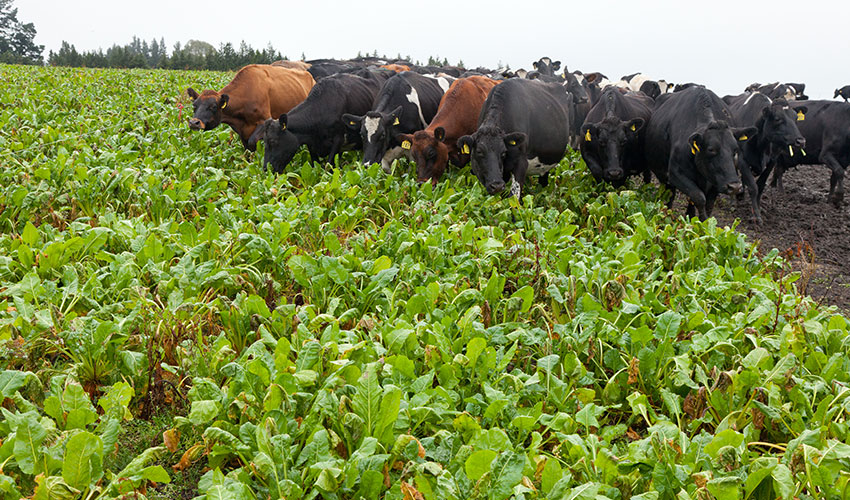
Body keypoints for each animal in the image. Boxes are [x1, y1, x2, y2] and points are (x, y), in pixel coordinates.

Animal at [186, 64, 314, 150]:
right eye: (194, 105)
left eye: (213, 106)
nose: (194, 123)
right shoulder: (243, 133)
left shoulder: (265, 120)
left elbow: (253, 142)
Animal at [260, 71, 390, 174]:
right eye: (264, 141)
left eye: (273, 141)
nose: (266, 169)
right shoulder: (311, 144)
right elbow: (315, 165)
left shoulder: (338, 139)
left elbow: (328, 166)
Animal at [644, 87, 756, 220]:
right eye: (711, 149)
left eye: (735, 150)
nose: (734, 187)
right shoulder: (676, 174)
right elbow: (699, 197)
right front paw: (703, 220)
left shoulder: (716, 182)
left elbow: (709, 204)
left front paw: (701, 221)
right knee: (670, 193)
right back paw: (667, 212)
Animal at [724, 93, 808, 222]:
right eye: (778, 119)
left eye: (795, 118)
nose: (801, 141)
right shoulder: (742, 160)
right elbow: (753, 187)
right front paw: (756, 216)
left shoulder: (772, 161)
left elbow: (760, 186)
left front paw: (759, 209)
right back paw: (733, 201)